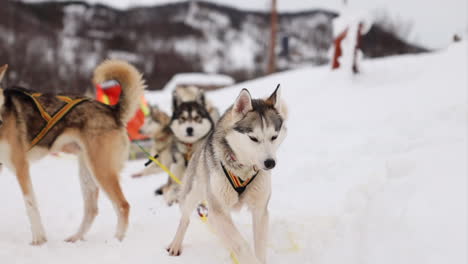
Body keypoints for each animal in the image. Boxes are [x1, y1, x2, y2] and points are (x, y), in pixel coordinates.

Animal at [0, 60, 145, 245]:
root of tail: (112, 110)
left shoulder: (21, 167)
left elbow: (30, 205)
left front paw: (39, 240)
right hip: (87, 172)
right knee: (92, 209)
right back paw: (76, 238)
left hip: (101, 170)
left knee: (122, 205)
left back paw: (117, 240)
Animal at [166, 85, 288, 262]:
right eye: (253, 138)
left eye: (274, 136)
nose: (270, 163)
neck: (243, 169)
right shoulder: (219, 210)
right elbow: (242, 245)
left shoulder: (260, 210)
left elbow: (259, 247)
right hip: (192, 194)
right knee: (185, 218)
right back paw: (176, 244)